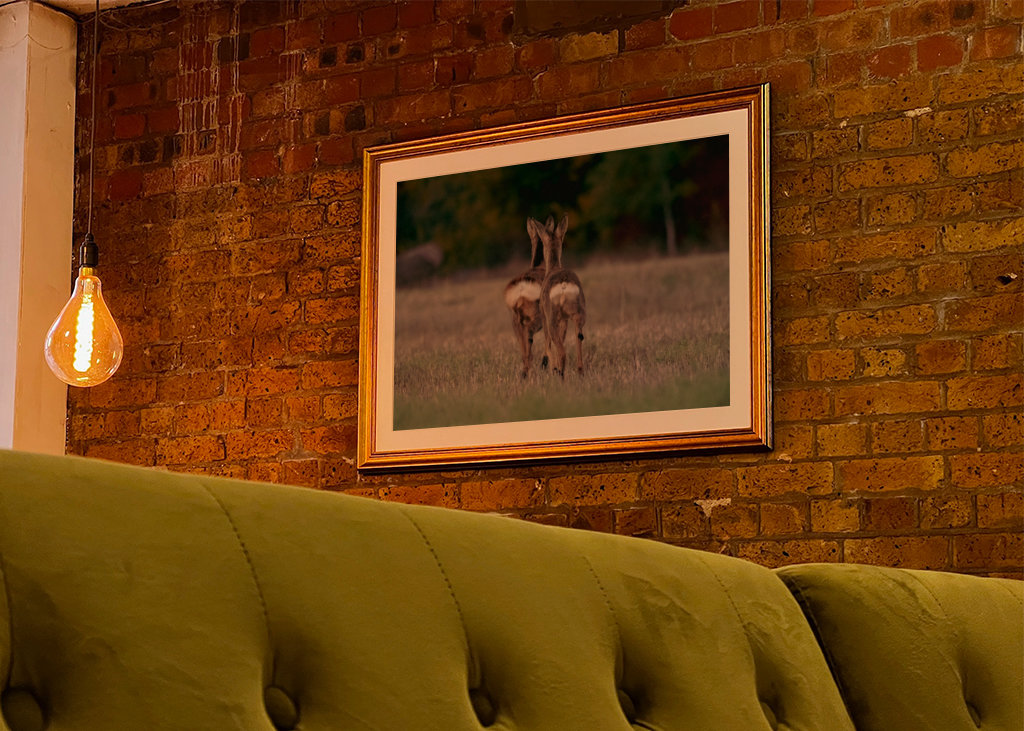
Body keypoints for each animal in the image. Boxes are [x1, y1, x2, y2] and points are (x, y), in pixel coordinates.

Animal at [529, 214, 586, 378]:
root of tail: (564, 285)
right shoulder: (565, 319)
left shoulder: (544, 315)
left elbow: (548, 345)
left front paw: (551, 368)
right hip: (579, 313)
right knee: (578, 339)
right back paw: (579, 374)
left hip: (552, 317)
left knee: (560, 349)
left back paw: (559, 374)